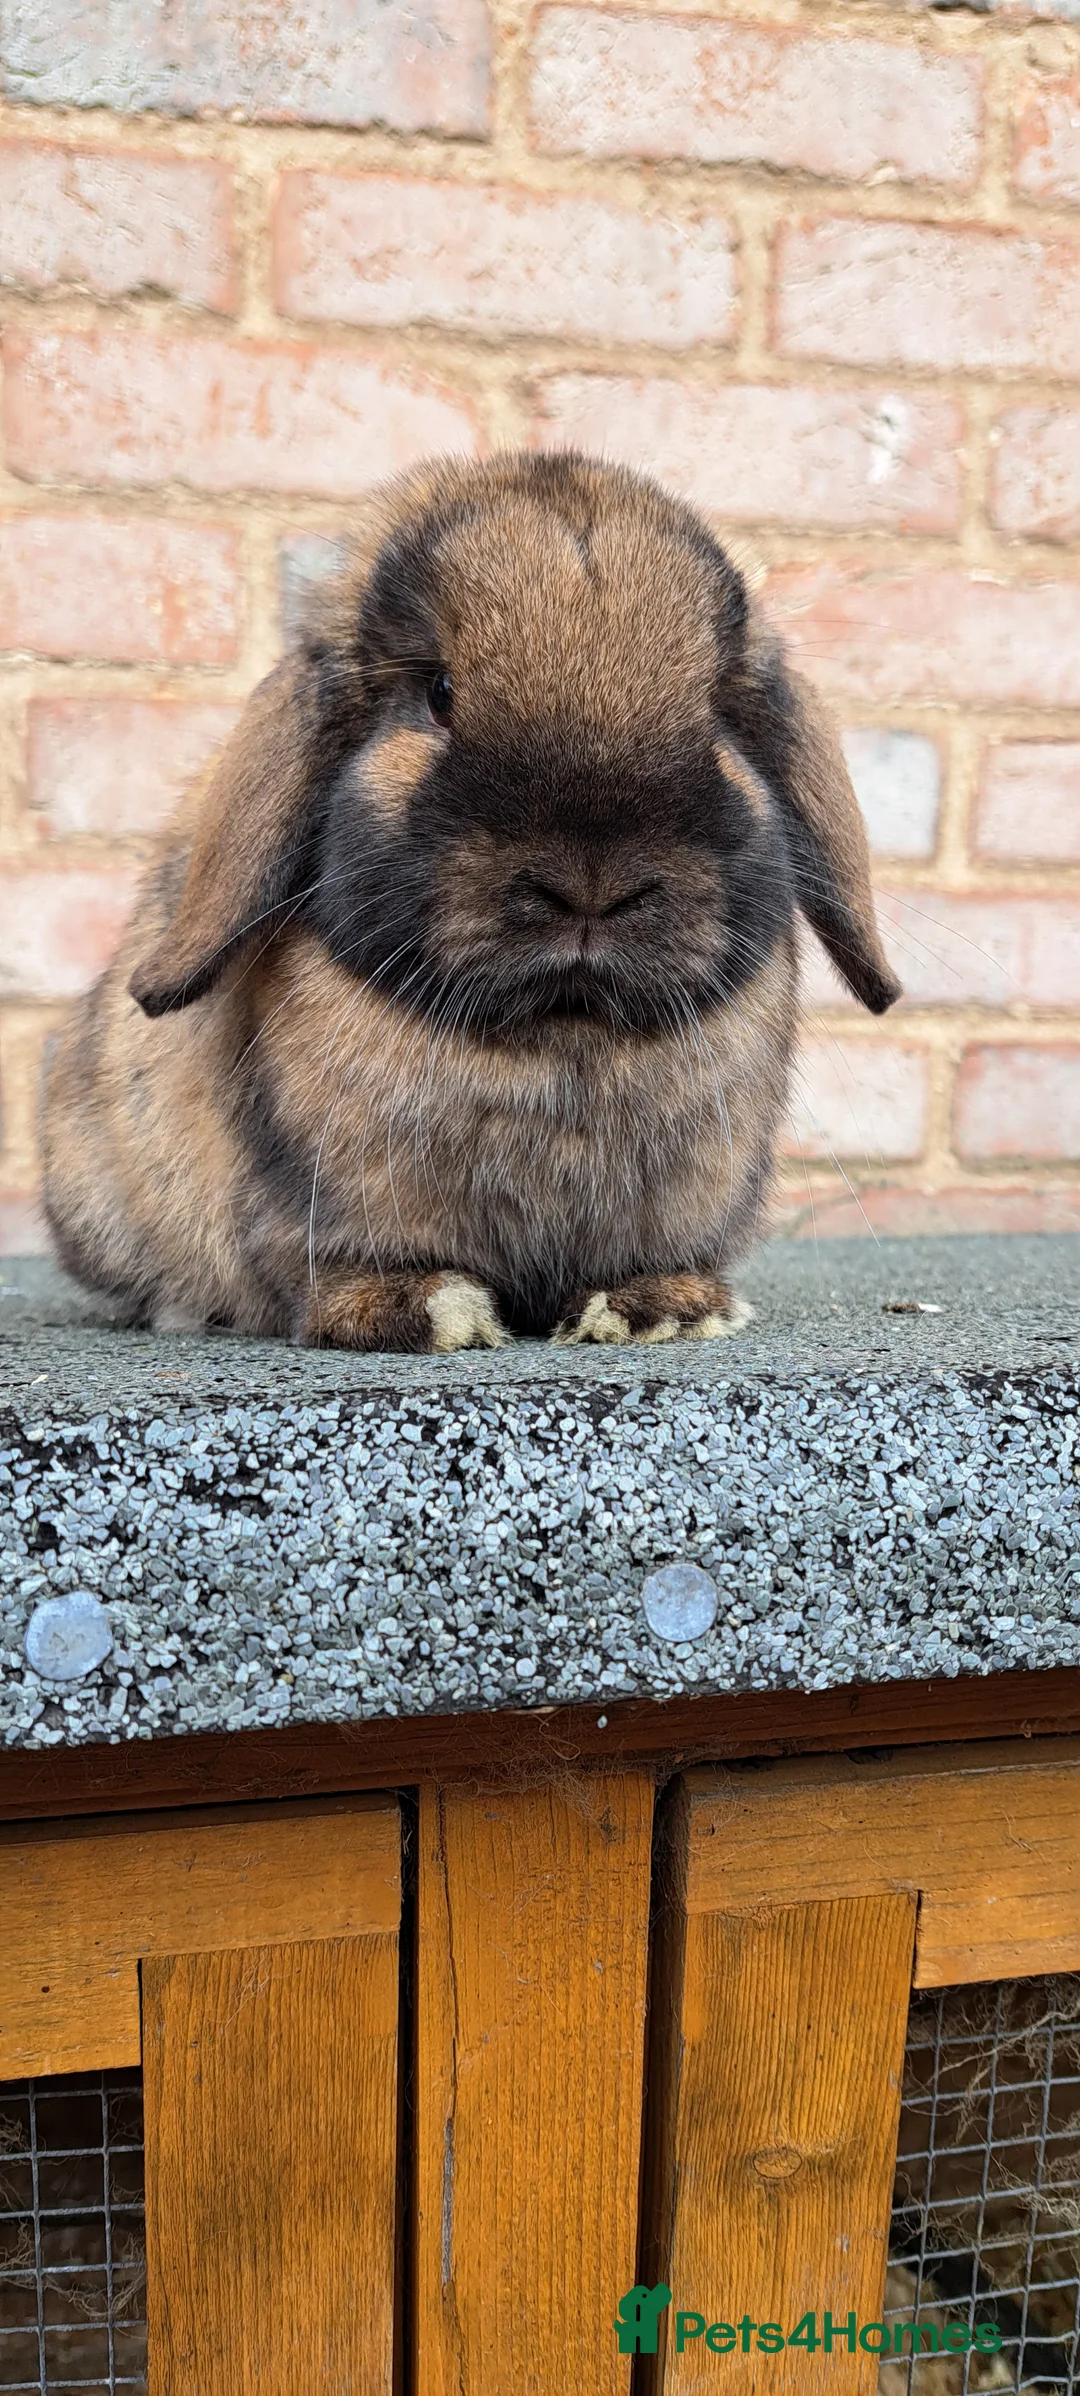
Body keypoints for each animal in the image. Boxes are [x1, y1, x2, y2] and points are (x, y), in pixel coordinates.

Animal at [41, 450, 900, 1352]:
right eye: (440, 692)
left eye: (716, 711)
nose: (590, 885)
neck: (563, 1030)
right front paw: (421, 1311)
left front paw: (656, 1309)